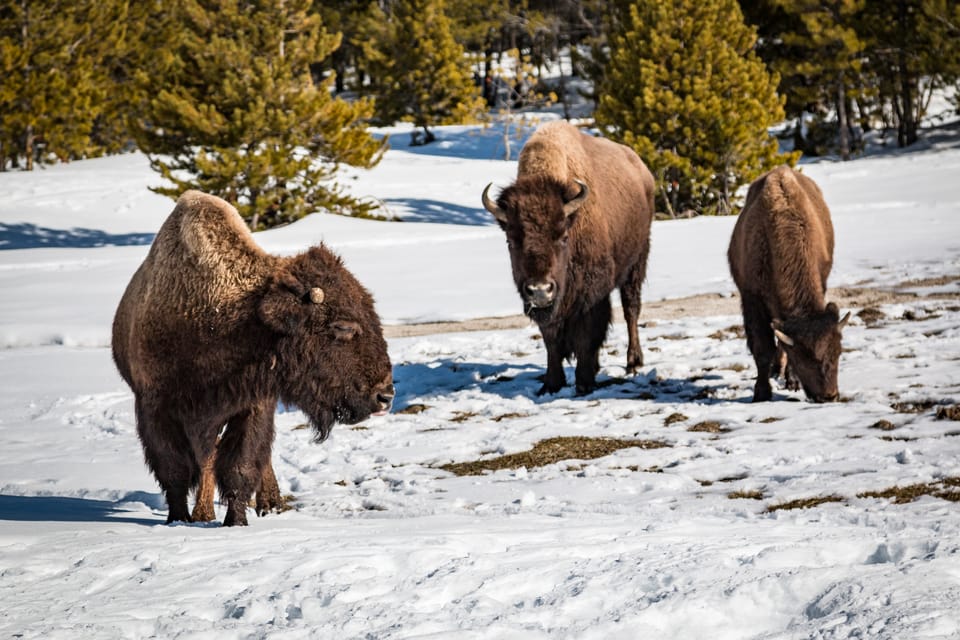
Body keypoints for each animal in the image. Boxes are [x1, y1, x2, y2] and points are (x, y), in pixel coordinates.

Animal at [113, 192, 394, 528]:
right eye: (343, 327)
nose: (385, 395)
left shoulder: (252, 405)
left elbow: (241, 466)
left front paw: (236, 522)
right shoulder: (155, 408)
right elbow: (176, 470)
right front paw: (177, 519)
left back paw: (270, 504)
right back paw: (204, 512)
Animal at [484, 117, 656, 392]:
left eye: (563, 237)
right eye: (511, 241)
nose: (540, 289)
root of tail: (641, 169)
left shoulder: (591, 293)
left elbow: (587, 334)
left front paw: (584, 383)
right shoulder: (548, 306)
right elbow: (551, 339)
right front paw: (552, 384)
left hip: (637, 262)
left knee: (631, 309)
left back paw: (633, 362)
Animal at [728, 168, 848, 402]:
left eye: (838, 351)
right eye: (804, 357)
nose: (829, 396)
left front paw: (791, 382)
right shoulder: (752, 299)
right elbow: (762, 348)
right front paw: (761, 393)